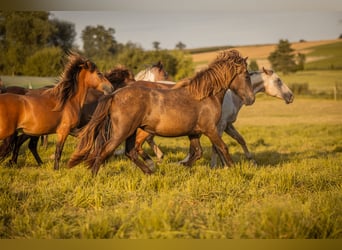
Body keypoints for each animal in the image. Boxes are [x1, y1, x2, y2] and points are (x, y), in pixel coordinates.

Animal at [68, 49, 255, 176]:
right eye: (247, 76)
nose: (251, 99)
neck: (205, 96)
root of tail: (115, 94)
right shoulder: (211, 129)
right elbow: (222, 147)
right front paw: (232, 169)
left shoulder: (194, 132)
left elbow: (197, 152)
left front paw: (181, 166)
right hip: (123, 131)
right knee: (106, 150)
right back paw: (94, 177)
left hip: (132, 131)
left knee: (130, 151)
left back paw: (150, 172)